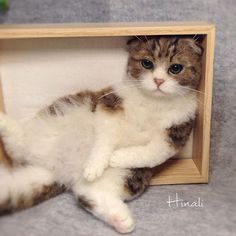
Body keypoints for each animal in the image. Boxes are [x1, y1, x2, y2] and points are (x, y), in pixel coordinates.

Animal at [0, 36, 203, 233]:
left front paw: (116, 157)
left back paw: (121, 219)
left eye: (175, 68)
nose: (158, 81)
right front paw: (95, 165)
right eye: (147, 63)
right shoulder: (111, 102)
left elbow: (155, 152)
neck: (154, 102)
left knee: (88, 193)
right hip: (60, 115)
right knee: (20, 143)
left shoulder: (178, 132)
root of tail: (56, 169)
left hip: (127, 174)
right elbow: (105, 134)